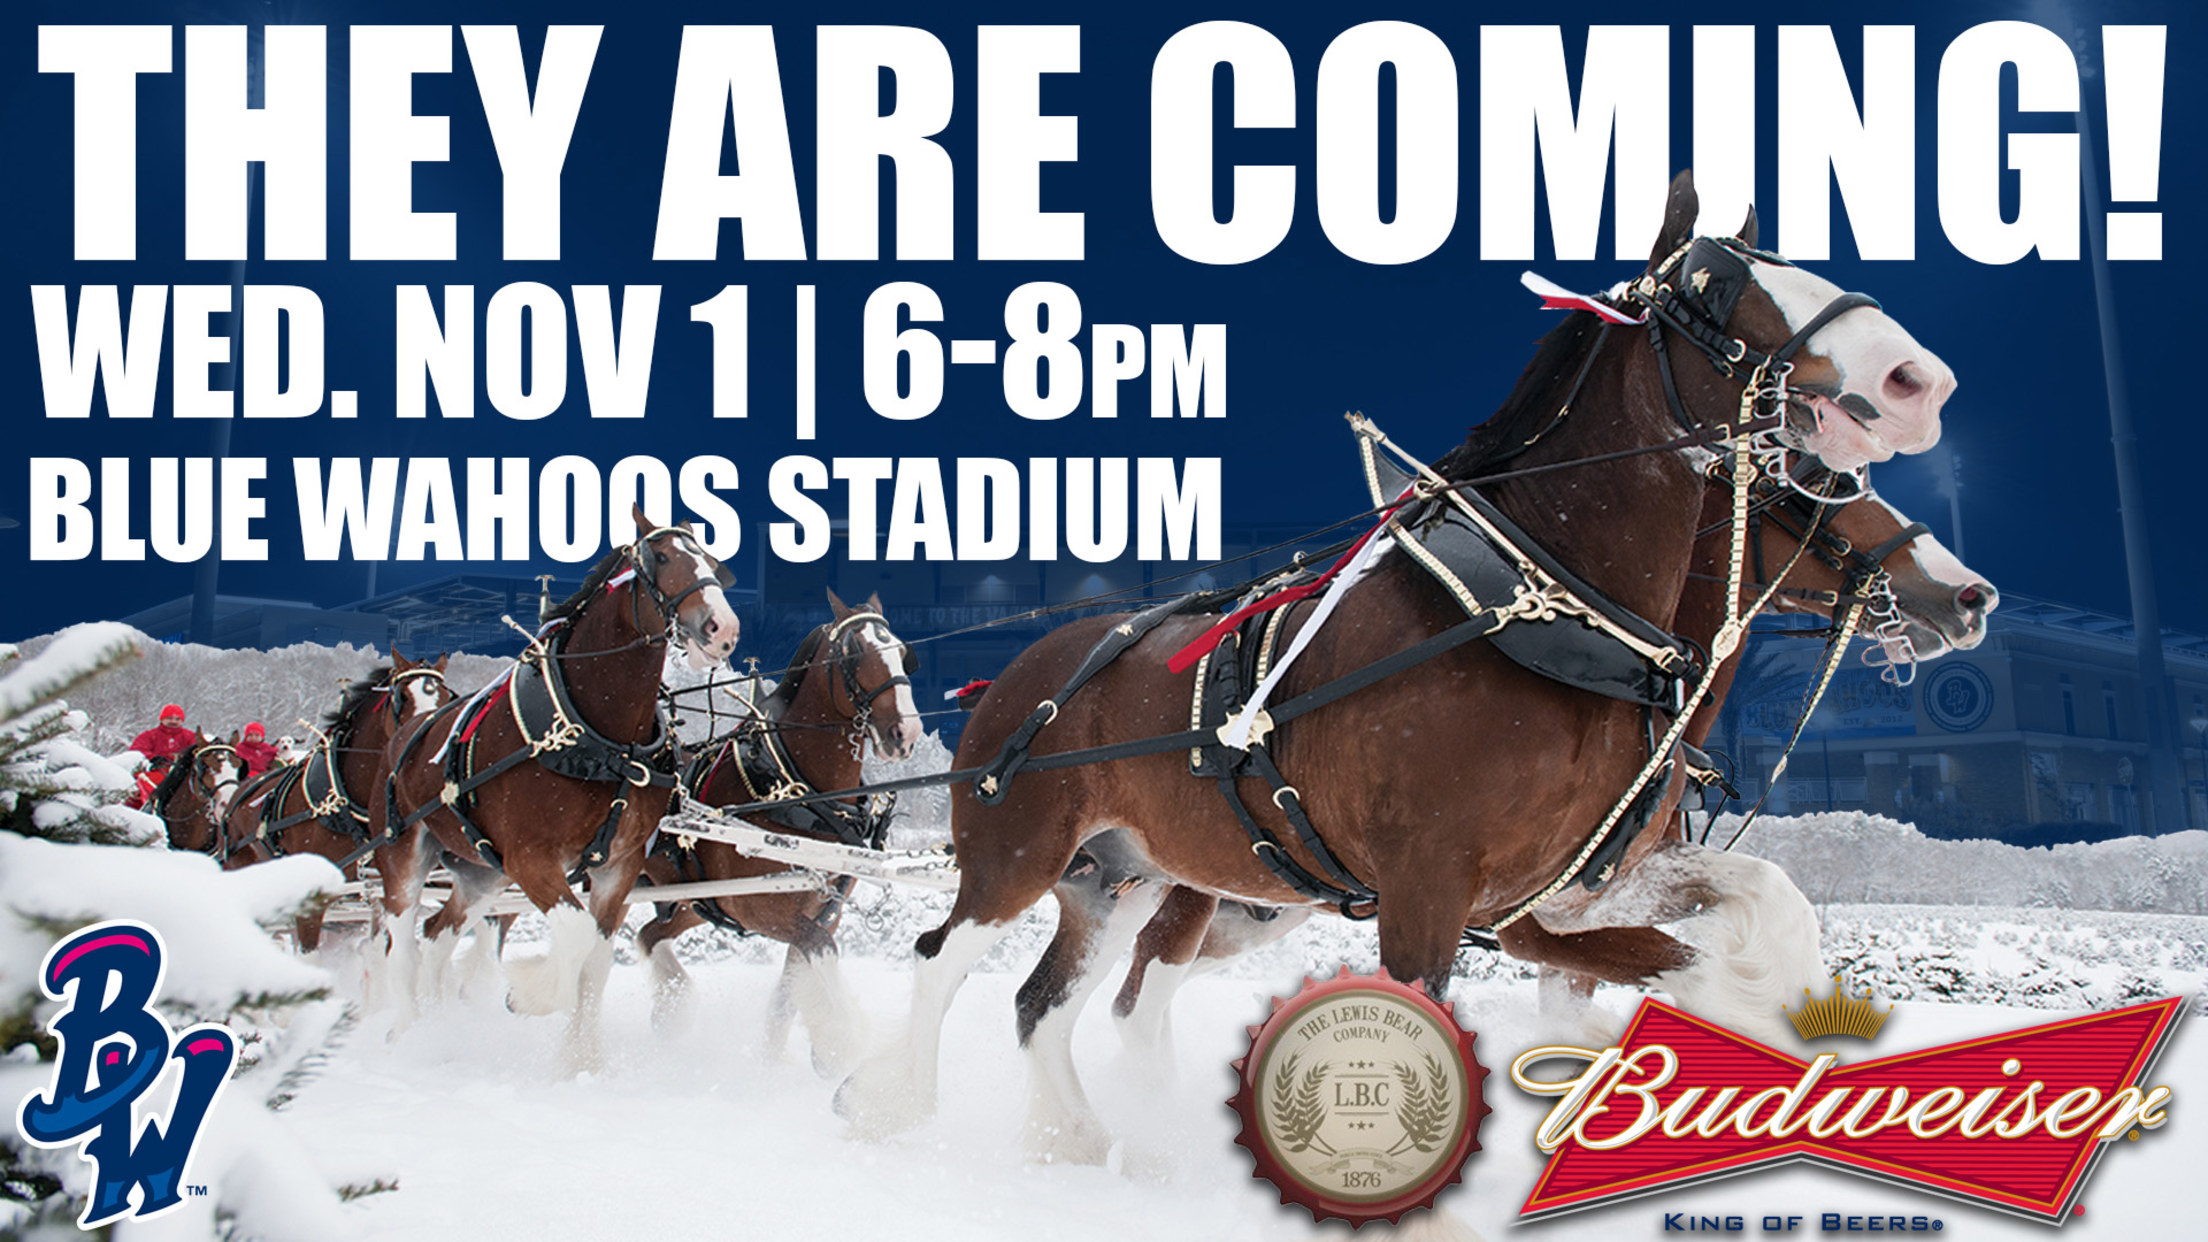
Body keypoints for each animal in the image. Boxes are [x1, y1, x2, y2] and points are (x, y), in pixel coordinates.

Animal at [834, 169, 1960, 1158]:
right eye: (1715, 283)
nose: (1918, 379)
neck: (1545, 615)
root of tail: (1014, 676)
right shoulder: (1441, 893)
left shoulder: (1564, 892)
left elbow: (1748, 911)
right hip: (1016, 858)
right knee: (946, 964)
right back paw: (893, 1105)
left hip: (1124, 878)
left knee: (1050, 1003)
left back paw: (1084, 1137)